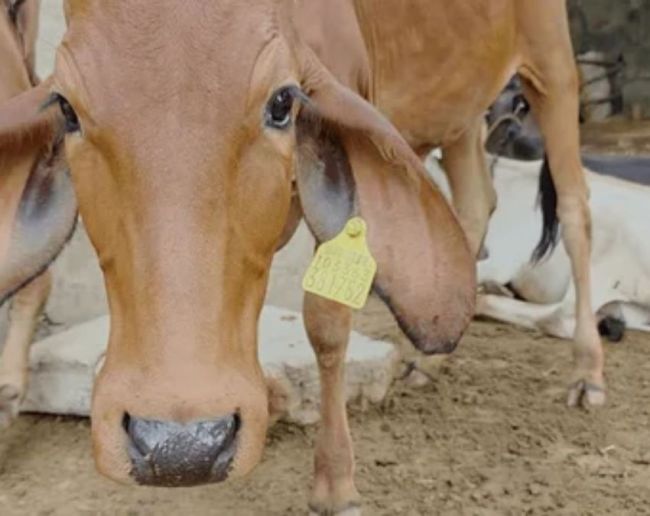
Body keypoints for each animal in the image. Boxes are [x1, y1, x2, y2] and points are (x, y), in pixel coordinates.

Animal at [0, 1, 598, 513]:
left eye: (282, 103)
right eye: (67, 110)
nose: (181, 446)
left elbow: (326, 324)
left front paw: (336, 483)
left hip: (553, 67)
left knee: (575, 213)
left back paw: (588, 371)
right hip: (462, 114)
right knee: (476, 204)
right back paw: (427, 363)